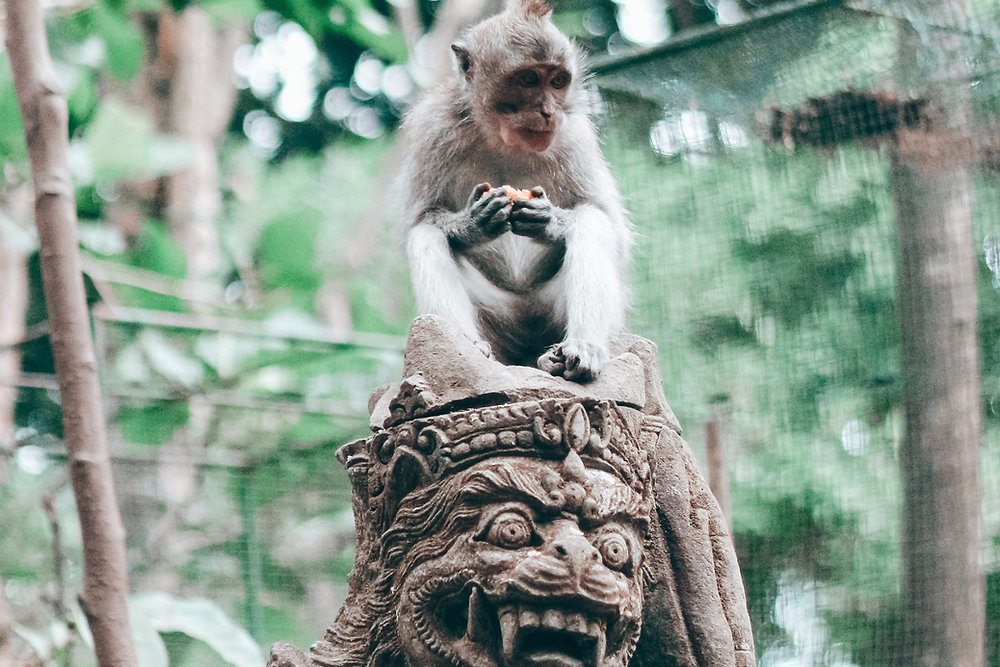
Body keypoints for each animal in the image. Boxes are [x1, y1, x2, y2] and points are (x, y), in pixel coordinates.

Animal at [399, 0, 631, 382]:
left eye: (557, 81)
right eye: (528, 79)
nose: (548, 111)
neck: (502, 136)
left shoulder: (575, 134)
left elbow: (608, 221)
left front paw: (550, 221)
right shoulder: (431, 127)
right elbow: (421, 218)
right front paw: (472, 225)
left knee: (591, 222)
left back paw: (578, 351)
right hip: (496, 316)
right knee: (425, 236)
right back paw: (467, 349)